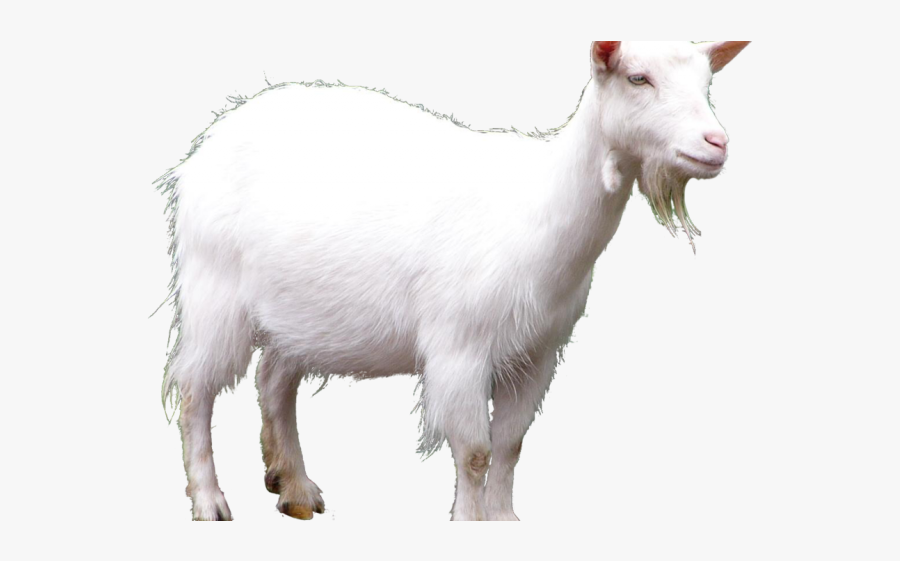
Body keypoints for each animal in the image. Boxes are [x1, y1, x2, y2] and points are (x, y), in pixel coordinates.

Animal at [156, 41, 750, 521]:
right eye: (637, 78)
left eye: (707, 83)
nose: (716, 143)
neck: (540, 205)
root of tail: (211, 140)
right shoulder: (460, 347)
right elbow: (475, 452)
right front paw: (468, 522)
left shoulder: (536, 353)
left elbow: (509, 445)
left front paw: (505, 520)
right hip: (214, 289)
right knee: (195, 387)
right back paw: (210, 501)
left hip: (299, 310)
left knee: (274, 381)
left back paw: (296, 489)